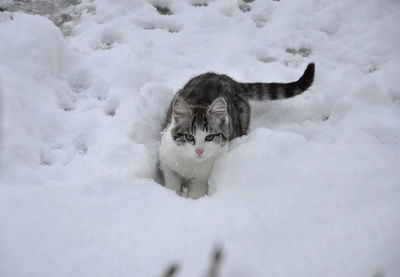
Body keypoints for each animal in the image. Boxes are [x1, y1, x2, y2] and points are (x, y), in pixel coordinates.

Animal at [158, 63, 314, 198]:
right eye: (190, 137)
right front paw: (173, 194)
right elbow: (172, 180)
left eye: (210, 137)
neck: (191, 163)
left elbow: (197, 191)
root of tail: (232, 81)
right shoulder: (167, 159)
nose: (199, 151)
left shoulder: (203, 177)